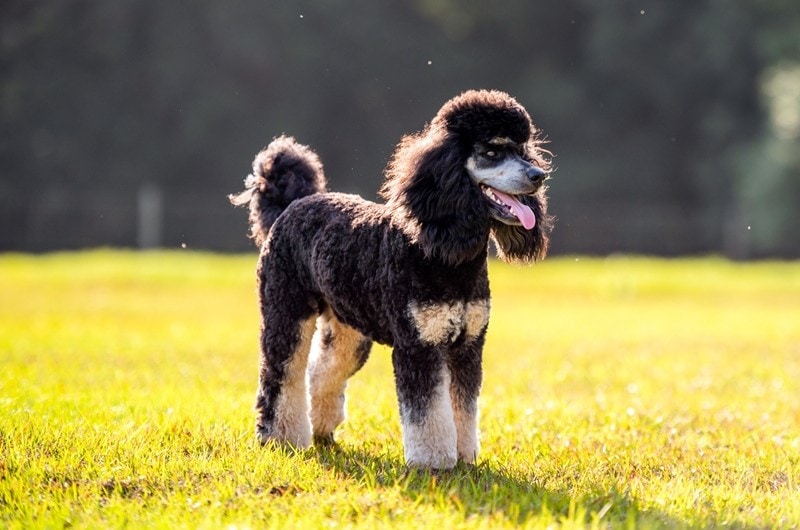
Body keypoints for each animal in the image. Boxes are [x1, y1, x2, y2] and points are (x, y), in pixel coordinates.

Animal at [231, 88, 552, 468]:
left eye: (523, 148)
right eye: (493, 151)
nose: (538, 175)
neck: (445, 254)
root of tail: (291, 206)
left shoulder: (467, 345)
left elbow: (464, 407)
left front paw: (464, 458)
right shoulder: (418, 345)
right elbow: (427, 412)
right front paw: (434, 463)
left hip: (349, 332)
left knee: (321, 372)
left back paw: (321, 429)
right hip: (286, 314)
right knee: (281, 376)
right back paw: (280, 438)